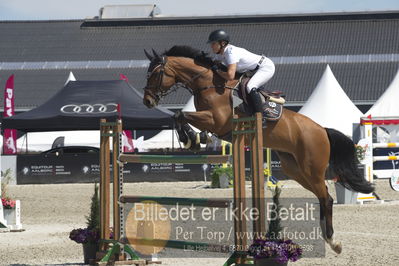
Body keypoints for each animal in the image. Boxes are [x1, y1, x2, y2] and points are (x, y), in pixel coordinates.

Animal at [141, 45, 376, 254]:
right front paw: (194, 138)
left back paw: (332, 241)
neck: (208, 84)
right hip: (295, 169)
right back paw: (328, 238)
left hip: (311, 168)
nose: (147, 101)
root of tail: (322, 130)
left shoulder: (218, 121)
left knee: (326, 197)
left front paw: (189, 138)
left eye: (155, 73)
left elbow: (180, 114)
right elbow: (179, 116)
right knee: (322, 195)